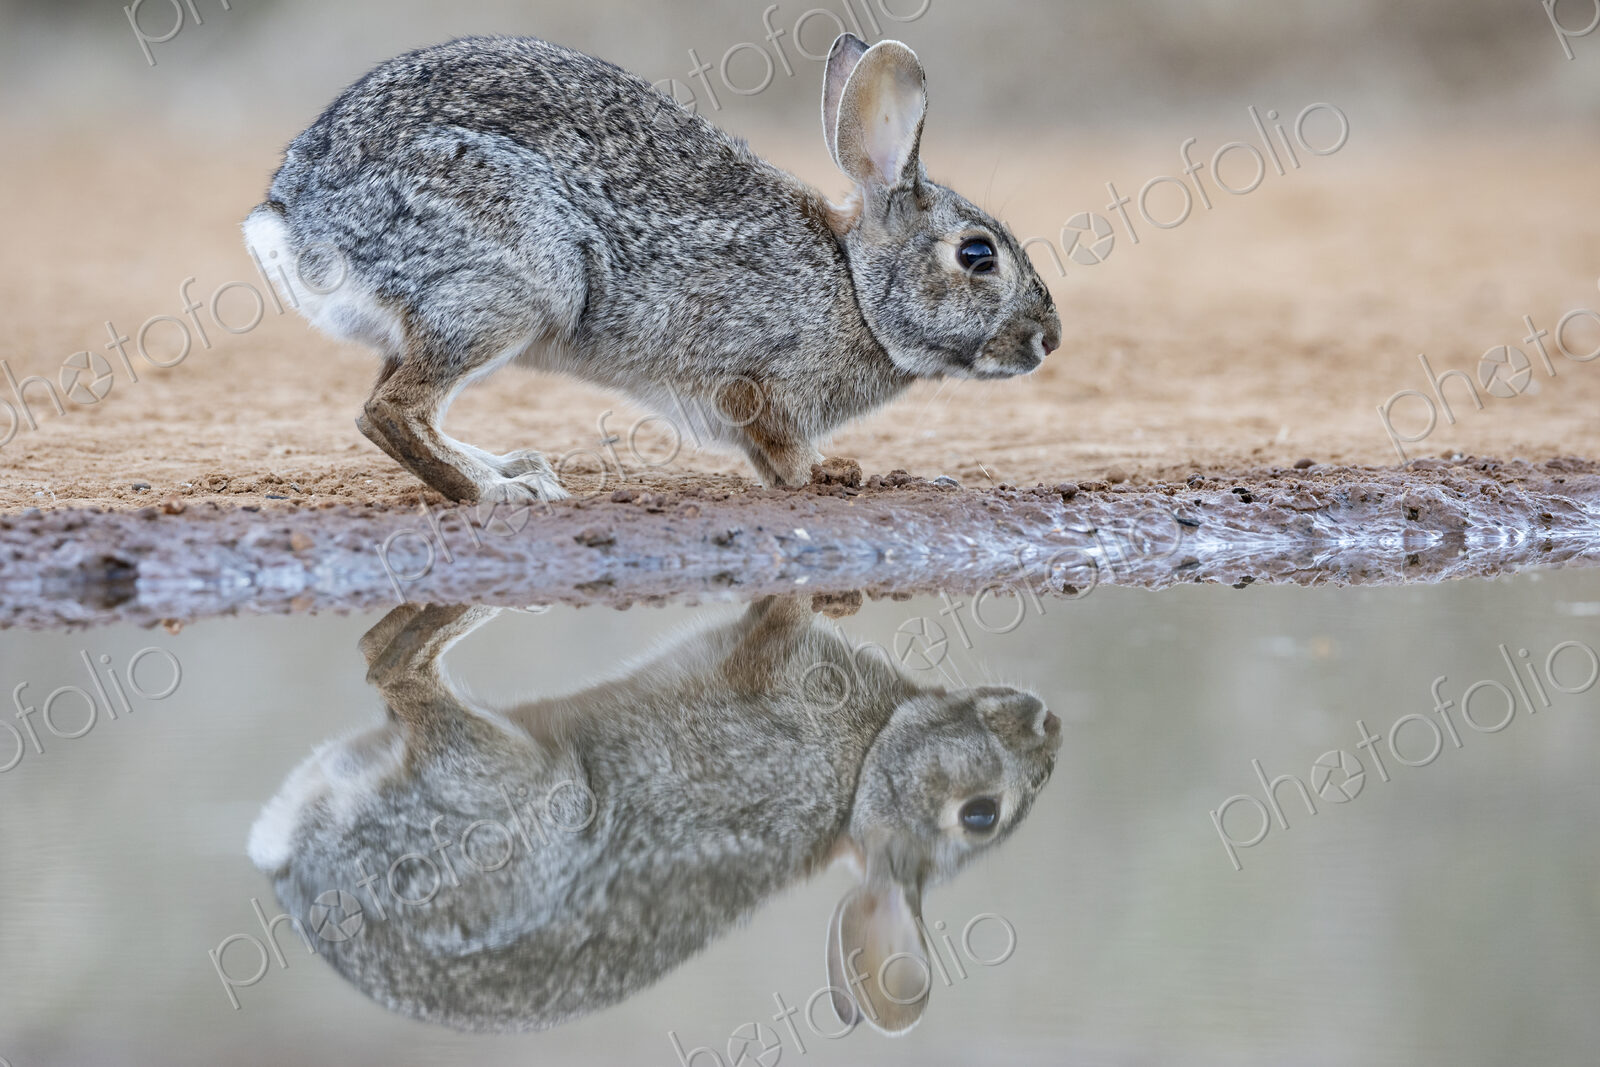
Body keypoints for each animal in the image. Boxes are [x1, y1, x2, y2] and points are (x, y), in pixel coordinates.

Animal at [242, 33, 1061, 503]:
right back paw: (501, 495)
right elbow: (785, 455)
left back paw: (514, 468)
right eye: (978, 255)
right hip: (514, 286)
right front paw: (842, 476)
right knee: (390, 412)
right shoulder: (760, 383)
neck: (855, 286)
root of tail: (297, 217)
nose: (1049, 339)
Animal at [247, 597, 1061, 1034]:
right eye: (982, 815)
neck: (865, 768)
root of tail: (297, 866)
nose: (1049, 722)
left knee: (392, 670)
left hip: (523, 788)